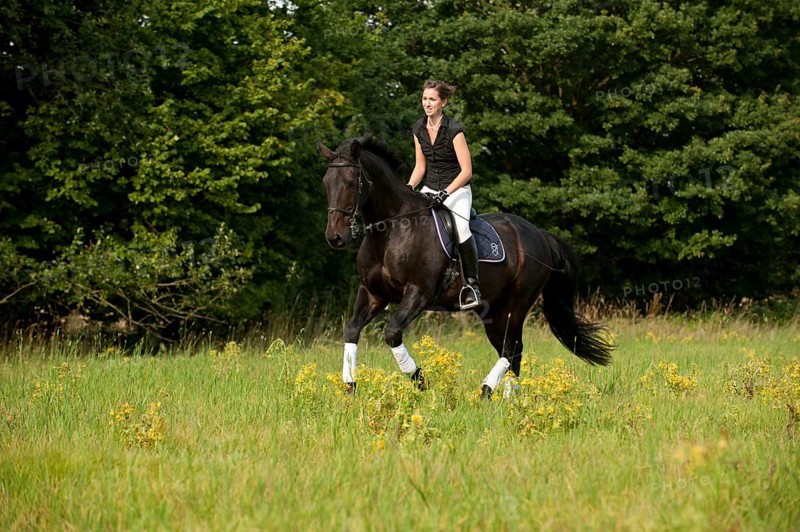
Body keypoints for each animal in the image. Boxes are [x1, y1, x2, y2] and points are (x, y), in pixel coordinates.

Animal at [317, 135, 613, 397]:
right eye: (326, 183)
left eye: (350, 183)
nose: (335, 237)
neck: (391, 230)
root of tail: (539, 234)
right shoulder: (373, 294)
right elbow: (352, 330)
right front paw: (350, 386)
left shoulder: (418, 293)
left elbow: (392, 334)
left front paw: (421, 381)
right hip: (493, 311)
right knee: (511, 349)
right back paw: (510, 398)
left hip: (515, 305)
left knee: (510, 348)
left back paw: (485, 391)